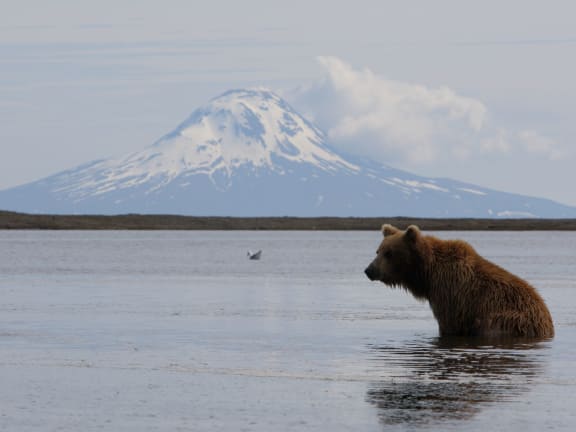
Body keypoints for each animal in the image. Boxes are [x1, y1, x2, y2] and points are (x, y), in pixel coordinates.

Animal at [364, 224, 552, 340]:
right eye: (378, 251)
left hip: (510, 319)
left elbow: (449, 325)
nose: (369, 270)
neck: (427, 273)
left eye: (389, 253)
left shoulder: (451, 294)